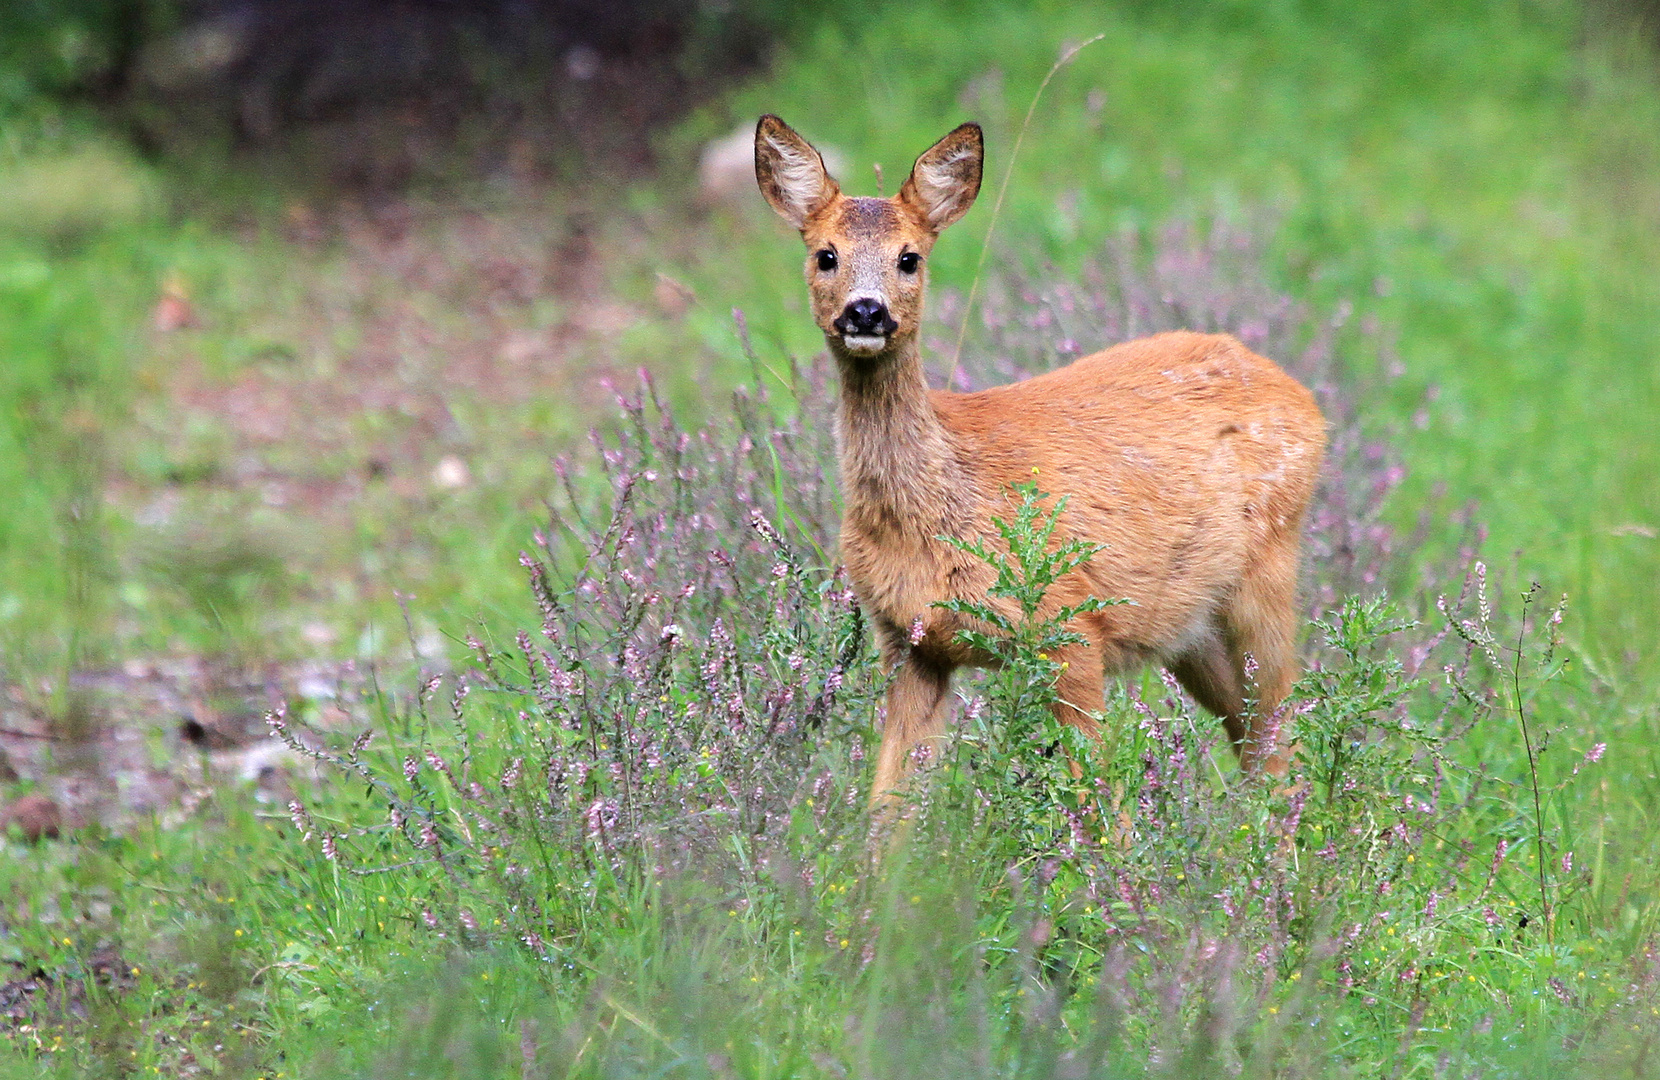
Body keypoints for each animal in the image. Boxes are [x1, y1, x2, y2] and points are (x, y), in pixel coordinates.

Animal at [753, 114, 1321, 816]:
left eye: (910, 257)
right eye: (824, 254)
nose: (866, 311)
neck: (941, 504)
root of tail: (1302, 395)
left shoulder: (1069, 626)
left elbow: (1100, 805)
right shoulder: (909, 646)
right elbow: (887, 810)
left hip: (1265, 572)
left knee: (1280, 726)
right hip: (1189, 624)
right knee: (1253, 737)